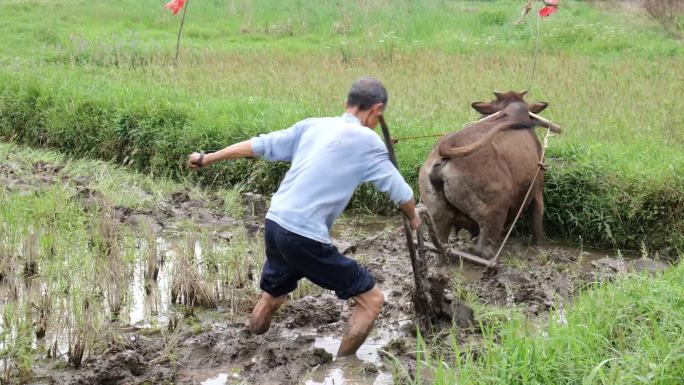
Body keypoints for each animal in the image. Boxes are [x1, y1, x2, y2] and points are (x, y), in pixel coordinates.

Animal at [420, 90, 564, 260]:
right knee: (482, 249)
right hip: (495, 210)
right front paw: (539, 247)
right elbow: (537, 224)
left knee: (441, 247)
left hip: (438, 218)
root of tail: (445, 151)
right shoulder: (538, 190)